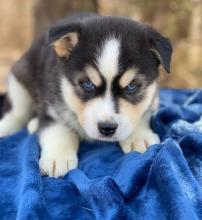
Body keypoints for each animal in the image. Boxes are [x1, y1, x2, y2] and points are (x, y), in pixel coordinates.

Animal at [0, 12, 172, 177]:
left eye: (132, 86)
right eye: (88, 84)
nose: (107, 128)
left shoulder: (153, 98)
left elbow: (142, 114)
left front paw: (139, 136)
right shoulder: (52, 105)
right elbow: (59, 129)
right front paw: (59, 156)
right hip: (20, 79)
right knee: (17, 112)